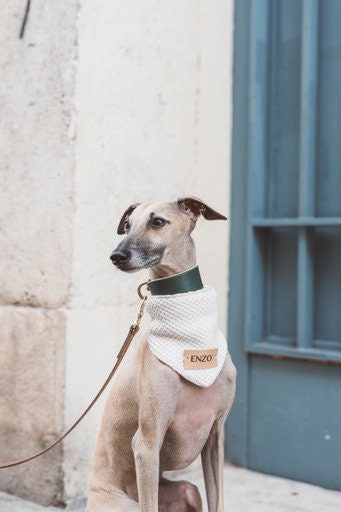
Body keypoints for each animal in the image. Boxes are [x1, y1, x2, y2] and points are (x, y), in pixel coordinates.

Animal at [87, 197, 236, 512]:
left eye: (157, 222)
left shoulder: (215, 437)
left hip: (188, 490)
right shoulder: (147, 443)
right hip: (127, 503)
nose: (116, 256)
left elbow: (217, 500)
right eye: (127, 225)